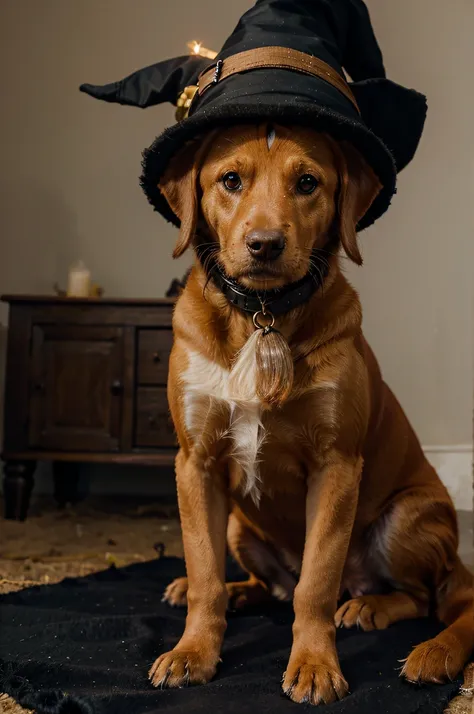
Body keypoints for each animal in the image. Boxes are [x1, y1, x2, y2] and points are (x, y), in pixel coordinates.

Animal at [148, 122, 474, 700]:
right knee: (266, 585)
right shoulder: (196, 462)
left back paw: (367, 606)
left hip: (407, 517)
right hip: (237, 525)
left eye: (307, 182)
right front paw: (193, 652)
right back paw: (235, 591)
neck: (261, 316)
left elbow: (316, 582)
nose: (264, 245)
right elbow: (205, 574)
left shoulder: (336, 465)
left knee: (418, 597)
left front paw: (316, 665)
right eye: (230, 180)